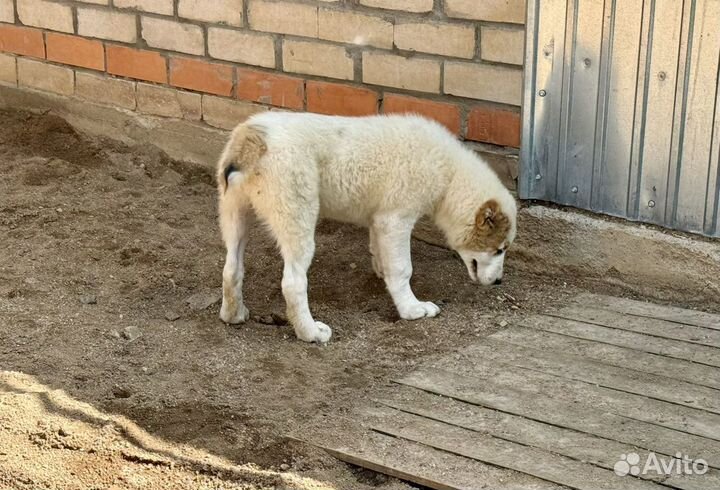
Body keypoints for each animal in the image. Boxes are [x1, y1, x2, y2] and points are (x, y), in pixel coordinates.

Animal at [217, 112, 516, 342]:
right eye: (499, 249)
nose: (499, 282)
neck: (450, 176)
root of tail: (252, 138)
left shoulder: (379, 220)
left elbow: (380, 252)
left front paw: (383, 274)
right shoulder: (397, 219)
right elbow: (403, 269)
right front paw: (412, 309)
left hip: (234, 215)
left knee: (231, 268)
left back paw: (234, 315)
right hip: (296, 219)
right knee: (293, 283)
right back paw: (310, 333)